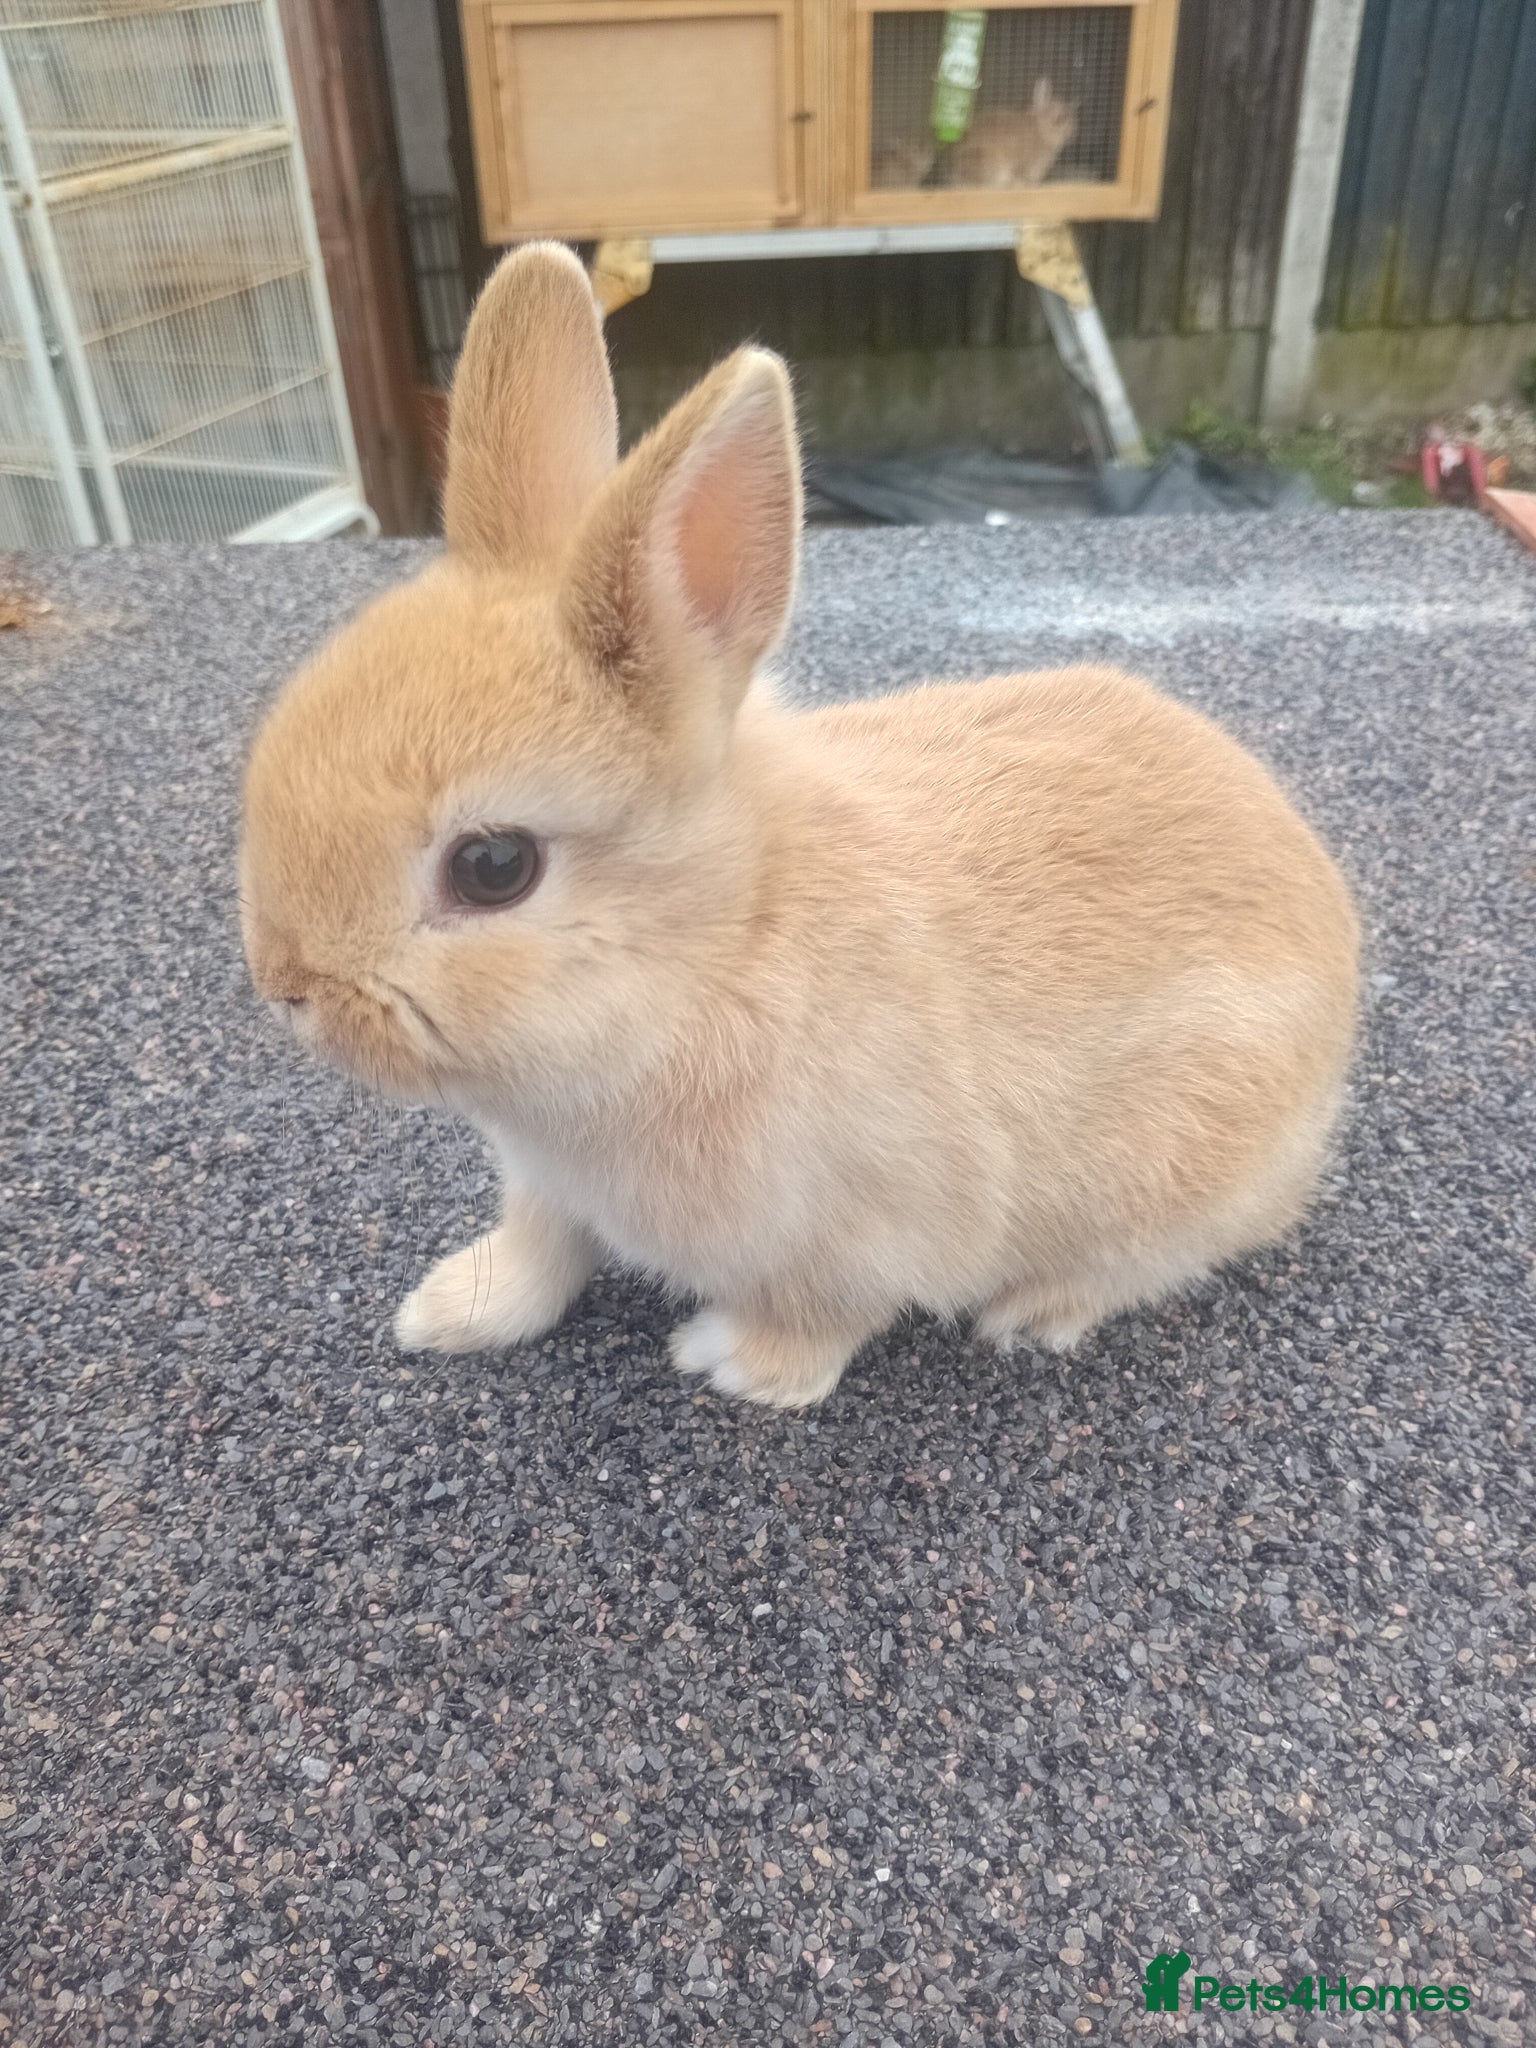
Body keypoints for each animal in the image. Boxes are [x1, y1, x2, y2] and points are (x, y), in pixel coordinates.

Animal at [240, 242, 1359, 1410]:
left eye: (494, 866)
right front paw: (450, 1311)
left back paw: (1036, 1311)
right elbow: (543, 1254)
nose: (285, 986)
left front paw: (732, 1360)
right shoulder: (549, 1185)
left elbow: (826, 1316)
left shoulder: (874, 1228)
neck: (721, 945)